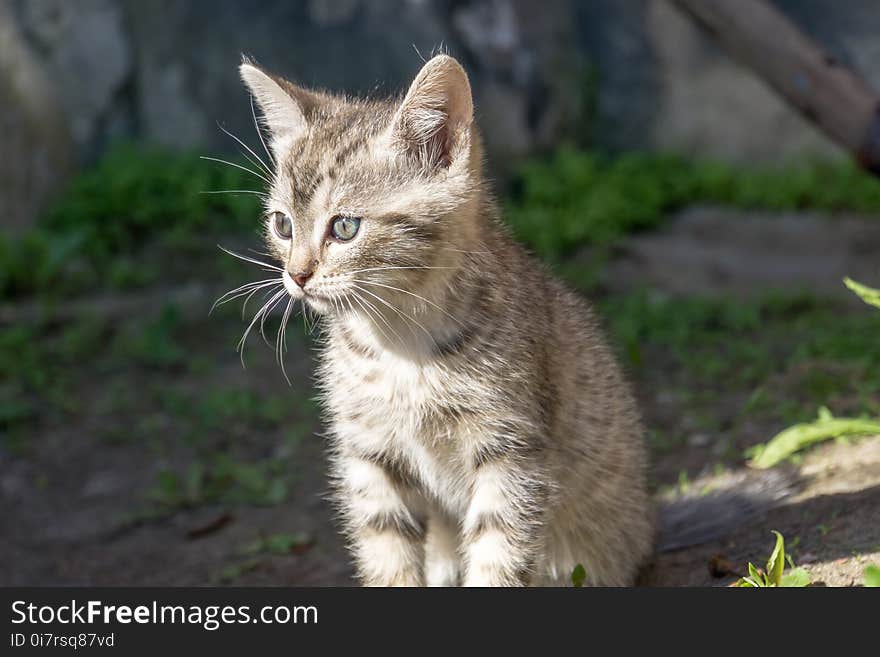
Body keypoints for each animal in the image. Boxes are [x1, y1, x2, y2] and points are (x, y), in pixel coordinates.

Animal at [235, 52, 652, 584]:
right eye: (282, 224)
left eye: (345, 227)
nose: (297, 274)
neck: (398, 346)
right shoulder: (370, 452)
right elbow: (386, 550)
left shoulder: (511, 451)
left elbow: (499, 553)